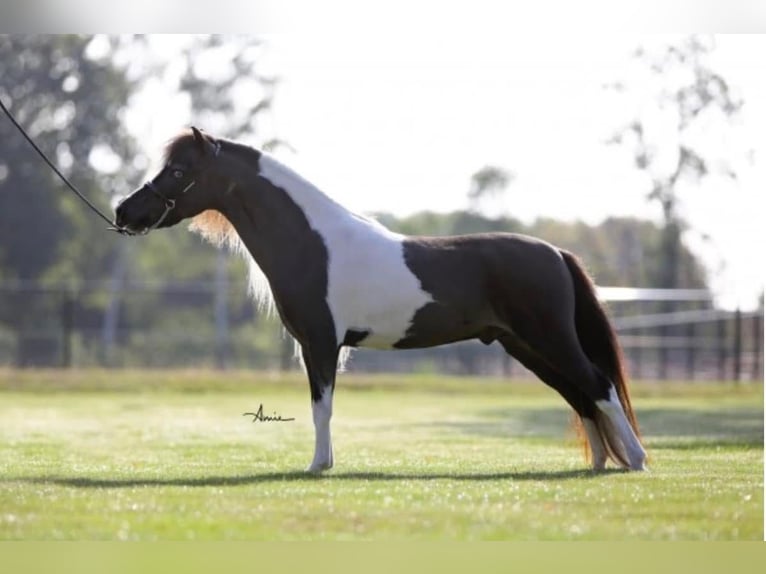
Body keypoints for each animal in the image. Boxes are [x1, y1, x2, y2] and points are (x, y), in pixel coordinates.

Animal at [115, 128, 648, 474]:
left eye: (178, 170)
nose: (123, 211)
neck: (314, 243)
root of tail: (556, 252)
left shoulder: (322, 343)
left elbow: (322, 407)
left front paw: (317, 466)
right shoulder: (315, 346)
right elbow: (322, 406)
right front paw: (324, 463)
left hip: (549, 339)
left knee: (598, 386)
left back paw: (638, 461)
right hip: (527, 348)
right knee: (580, 396)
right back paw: (601, 464)